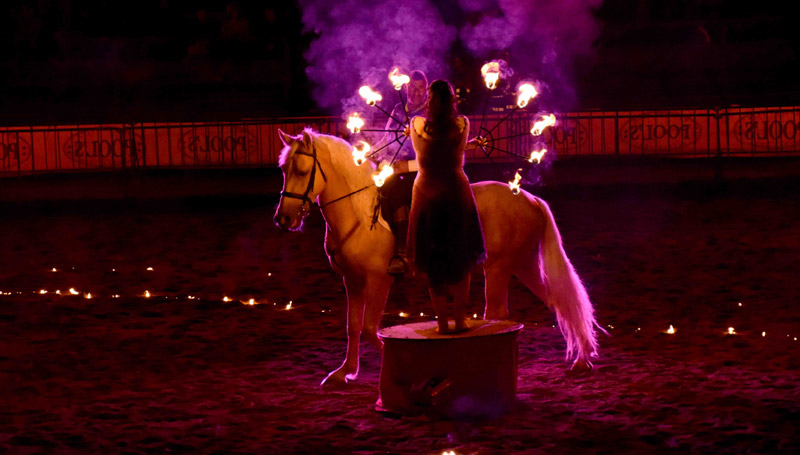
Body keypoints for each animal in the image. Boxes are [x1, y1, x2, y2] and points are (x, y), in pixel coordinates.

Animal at [273, 128, 601, 386]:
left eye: (302, 170)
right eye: (284, 170)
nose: (283, 219)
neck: (359, 212)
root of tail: (529, 199)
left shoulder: (378, 281)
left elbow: (368, 329)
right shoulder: (352, 282)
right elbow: (353, 327)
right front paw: (345, 373)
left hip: (500, 268)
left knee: (500, 312)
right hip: (523, 265)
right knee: (559, 300)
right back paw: (582, 358)